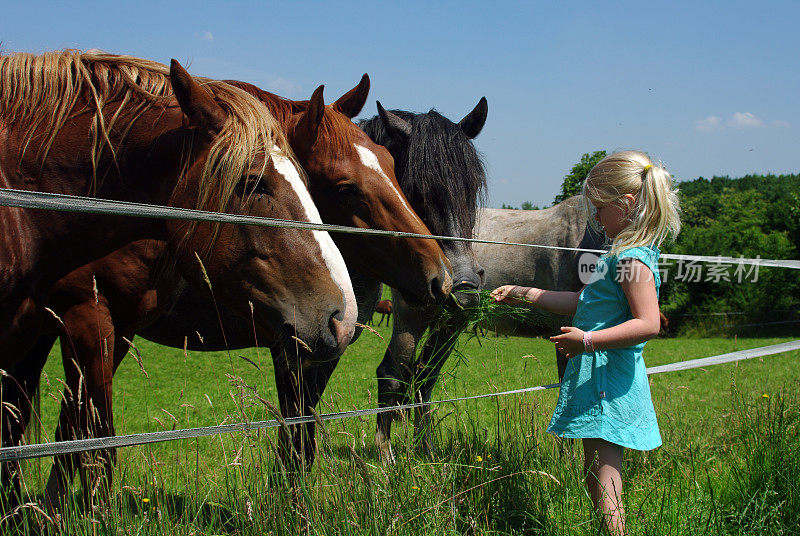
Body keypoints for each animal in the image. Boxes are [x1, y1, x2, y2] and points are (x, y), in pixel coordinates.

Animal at [7, 74, 450, 506]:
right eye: (346, 188)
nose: (440, 277)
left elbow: (300, 442)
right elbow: (89, 444)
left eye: (392, 166)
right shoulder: (89, 319)